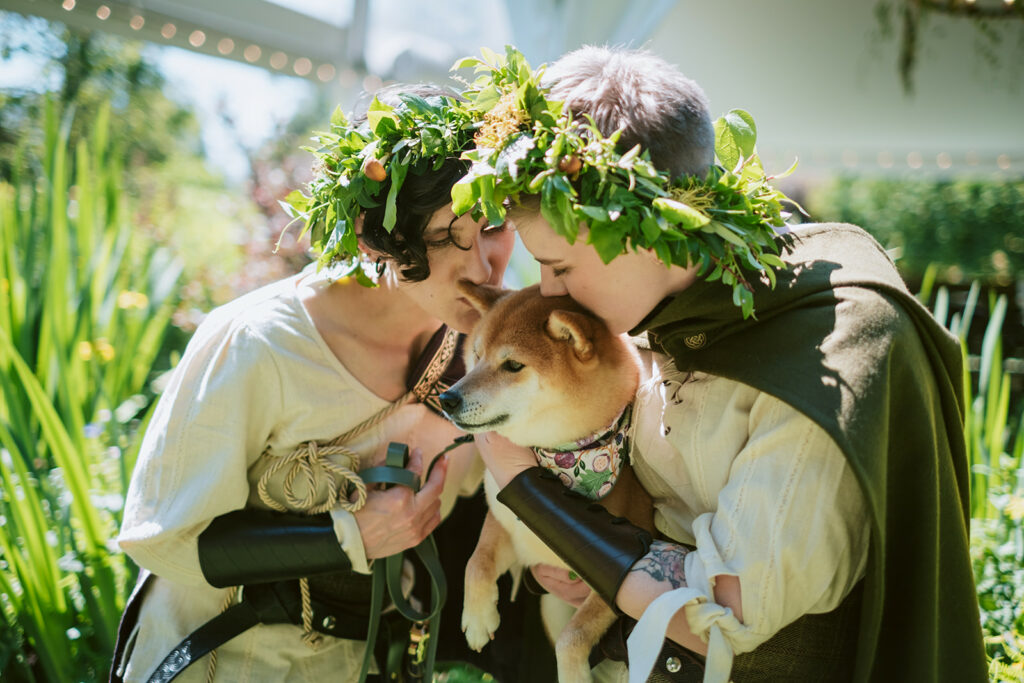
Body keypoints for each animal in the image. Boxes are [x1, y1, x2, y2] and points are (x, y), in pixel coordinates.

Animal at [442, 282, 655, 683]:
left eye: (513, 365)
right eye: (476, 355)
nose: (447, 397)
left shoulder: (616, 583)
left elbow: (575, 636)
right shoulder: (506, 524)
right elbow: (476, 562)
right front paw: (477, 619)